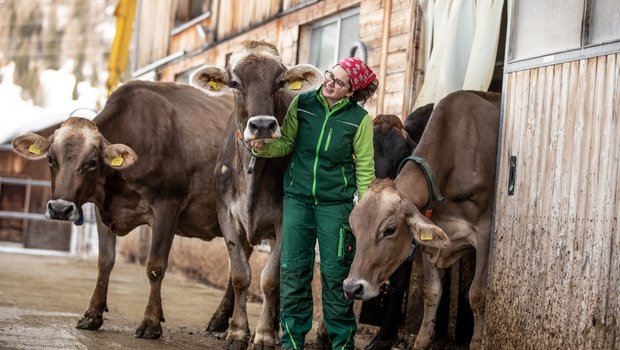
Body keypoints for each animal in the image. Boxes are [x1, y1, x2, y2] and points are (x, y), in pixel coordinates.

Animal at [12, 81, 235, 340]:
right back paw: (219, 321)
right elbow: (105, 261)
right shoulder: (102, 210)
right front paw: (92, 314)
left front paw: (151, 322)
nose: (60, 208)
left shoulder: (167, 206)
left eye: (92, 162)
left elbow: (155, 266)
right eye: (50, 158)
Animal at [190, 41, 322, 350]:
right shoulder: (226, 213)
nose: (262, 126)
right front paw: (238, 332)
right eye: (235, 83)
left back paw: (276, 328)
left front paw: (263, 335)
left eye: (279, 82)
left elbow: (271, 279)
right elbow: (240, 275)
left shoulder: (287, 218)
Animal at [342, 91, 502, 350]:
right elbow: (431, 291)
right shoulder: (430, 236)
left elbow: (477, 294)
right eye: (354, 230)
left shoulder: (486, 233)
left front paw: (477, 342)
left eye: (390, 229)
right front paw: (422, 341)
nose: (351, 287)